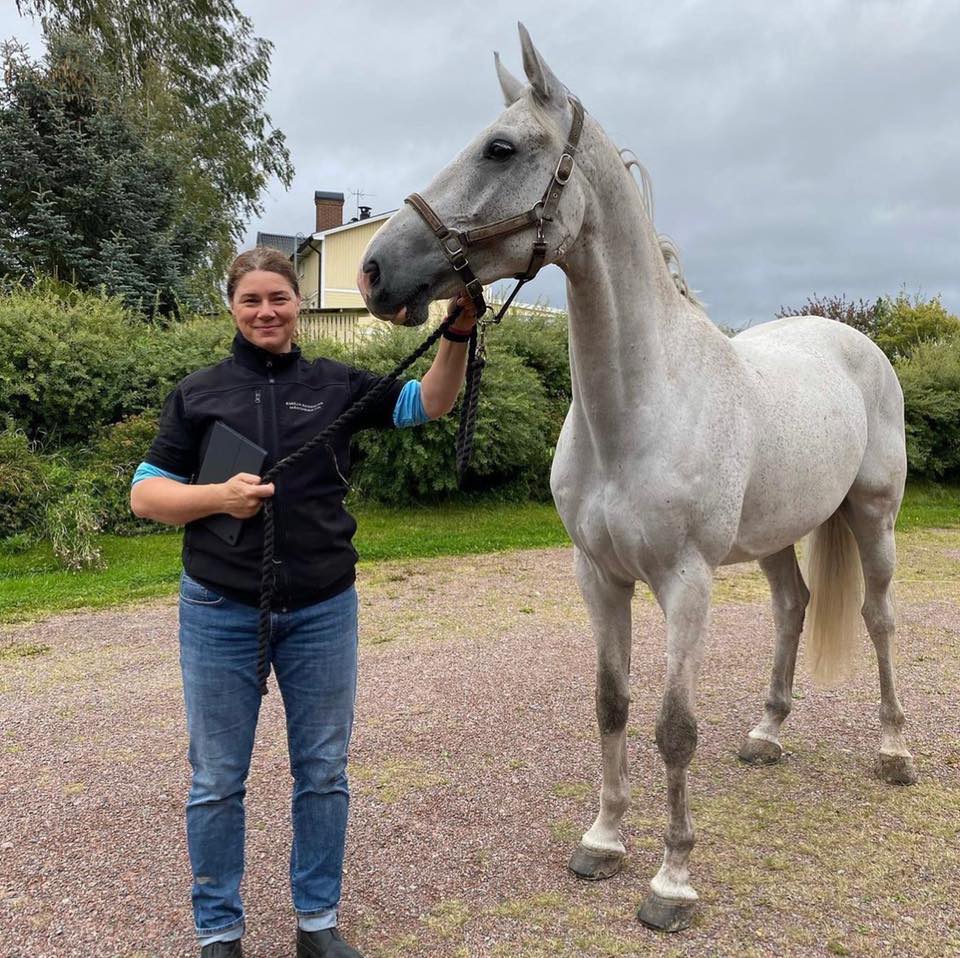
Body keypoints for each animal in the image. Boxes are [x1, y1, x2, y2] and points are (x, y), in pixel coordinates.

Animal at [356, 22, 920, 932]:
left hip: (874, 520)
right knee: (793, 607)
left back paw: (895, 750)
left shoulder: (685, 582)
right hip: (775, 536)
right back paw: (767, 735)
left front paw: (671, 880)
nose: (375, 270)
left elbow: (674, 727)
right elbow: (611, 704)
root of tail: (855, 342)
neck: (640, 407)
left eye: (501, 147)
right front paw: (604, 840)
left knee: (877, 620)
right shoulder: (599, 575)